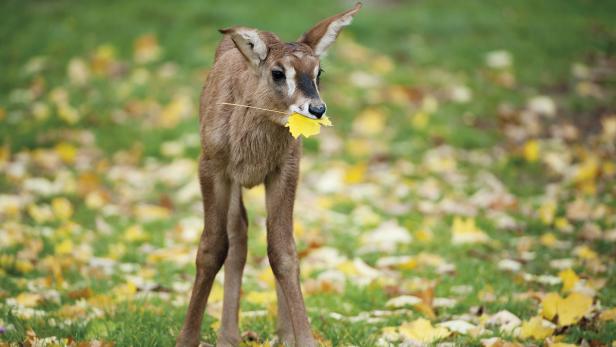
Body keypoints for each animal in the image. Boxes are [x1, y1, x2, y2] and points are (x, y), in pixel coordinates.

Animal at [176, 3, 360, 347]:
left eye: (318, 72)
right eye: (278, 72)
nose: (316, 109)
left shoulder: (284, 170)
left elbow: (282, 251)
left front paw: (302, 337)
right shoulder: (212, 167)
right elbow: (211, 248)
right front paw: (186, 338)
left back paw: (277, 334)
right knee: (237, 235)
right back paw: (228, 336)